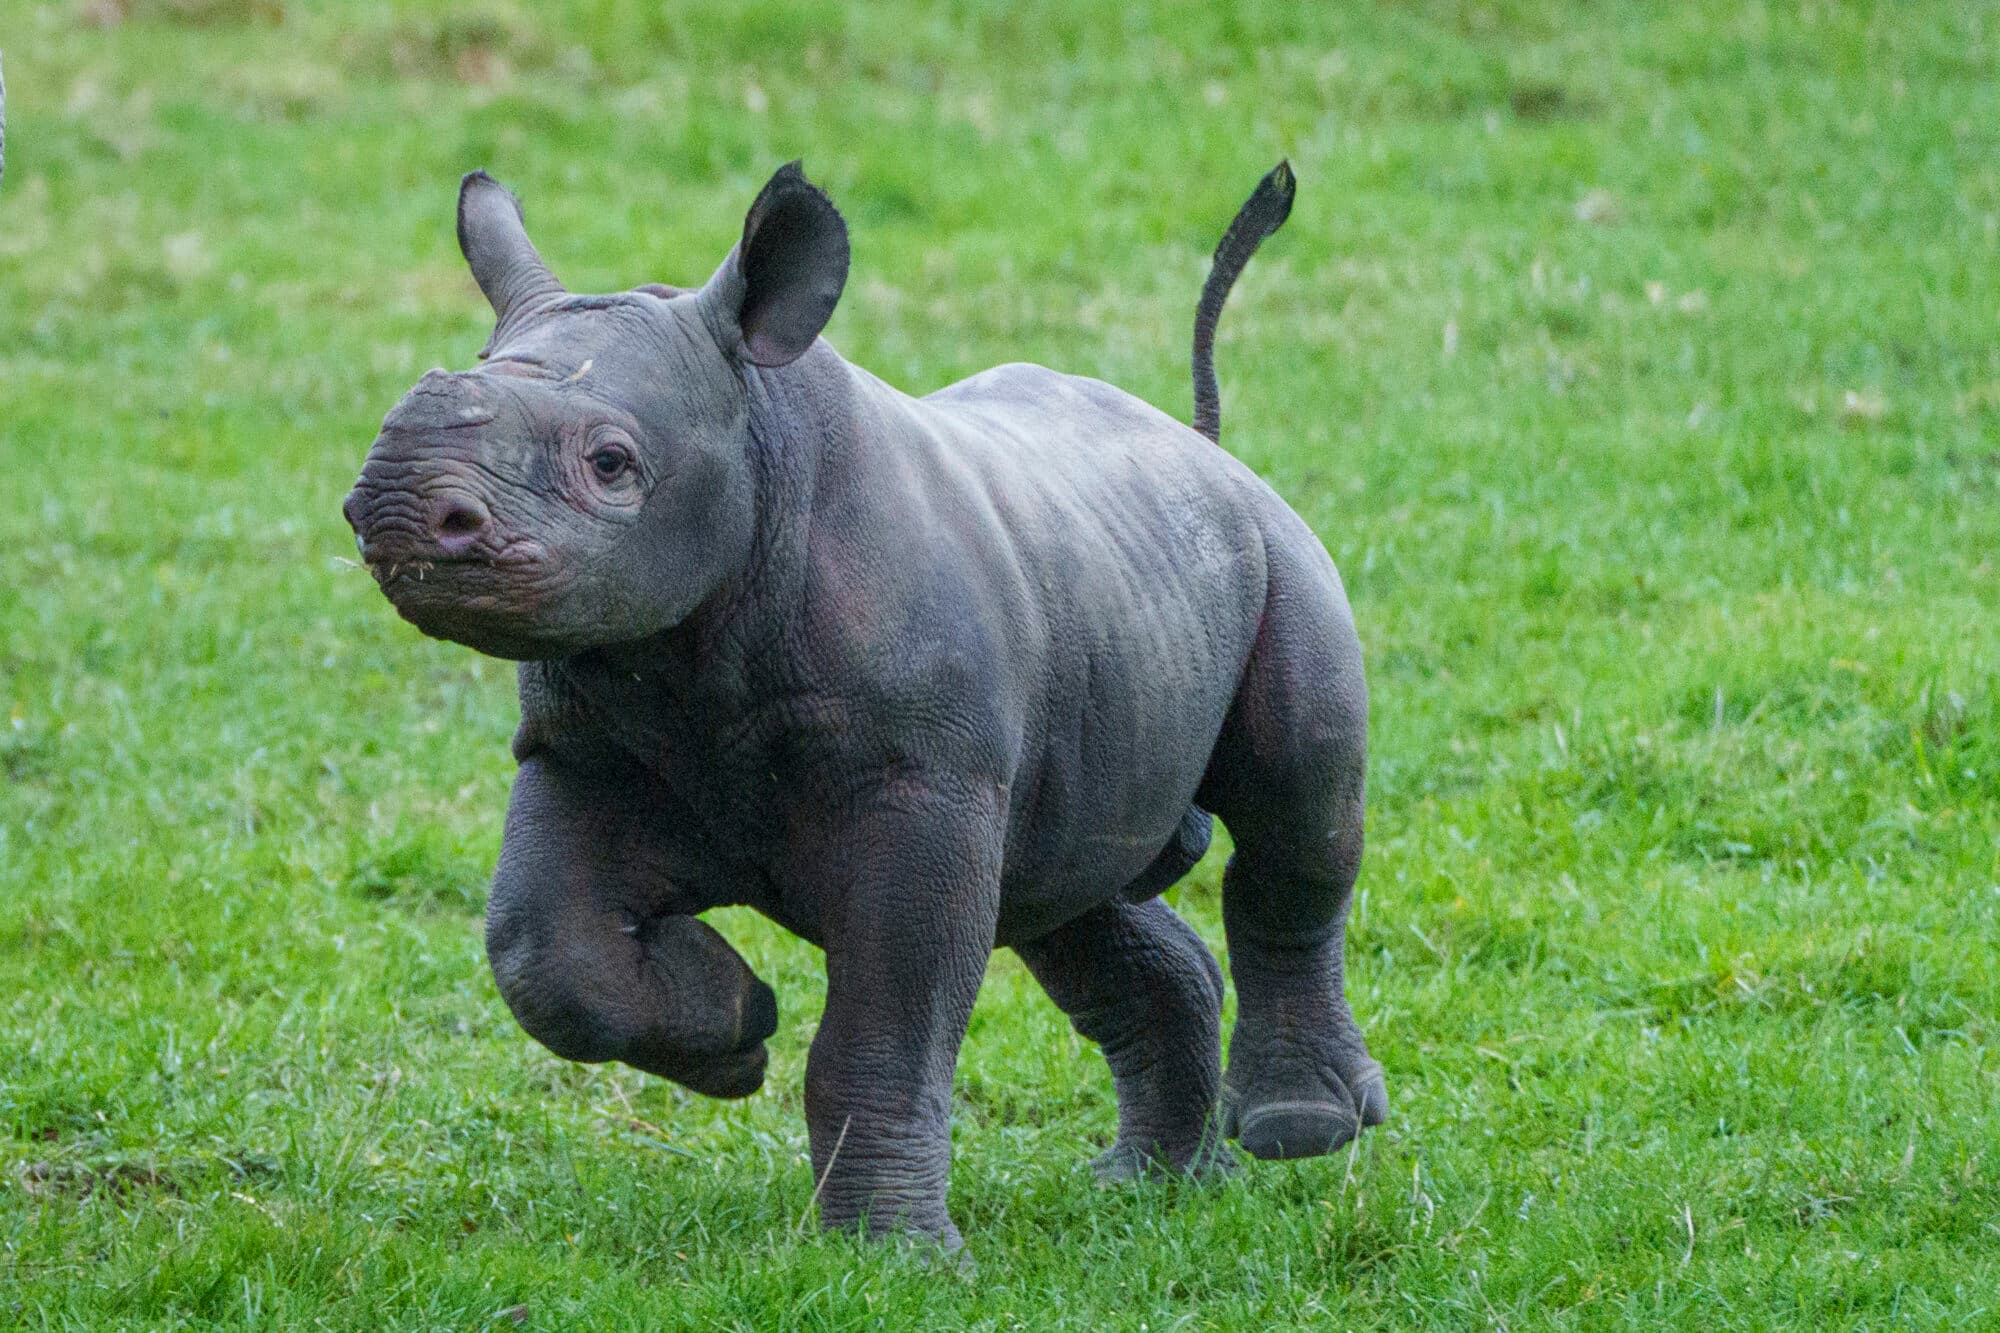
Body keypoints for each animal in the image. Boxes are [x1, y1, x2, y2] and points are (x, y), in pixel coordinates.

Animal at [344, 160, 1385, 1250]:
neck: (756, 435)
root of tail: (1202, 449)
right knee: (1066, 895)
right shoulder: (582, 748)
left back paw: (1297, 1128)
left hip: (1277, 552)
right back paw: (1150, 1187)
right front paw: (736, 1030)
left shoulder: (923, 776)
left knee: (1296, 810)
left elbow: (888, 1015)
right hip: (1112, 589)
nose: (396, 507)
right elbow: (543, 948)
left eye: (611, 463)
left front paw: (891, 1254)